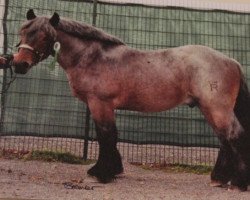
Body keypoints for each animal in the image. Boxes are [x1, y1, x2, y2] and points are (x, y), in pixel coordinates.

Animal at [12, 9, 250, 191]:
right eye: (22, 32)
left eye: (45, 36)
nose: (19, 64)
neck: (93, 57)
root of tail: (232, 62)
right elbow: (109, 136)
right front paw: (113, 170)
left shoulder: (100, 103)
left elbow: (106, 136)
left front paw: (100, 173)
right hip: (209, 108)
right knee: (224, 140)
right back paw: (220, 179)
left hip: (216, 108)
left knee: (234, 136)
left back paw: (239, 183)